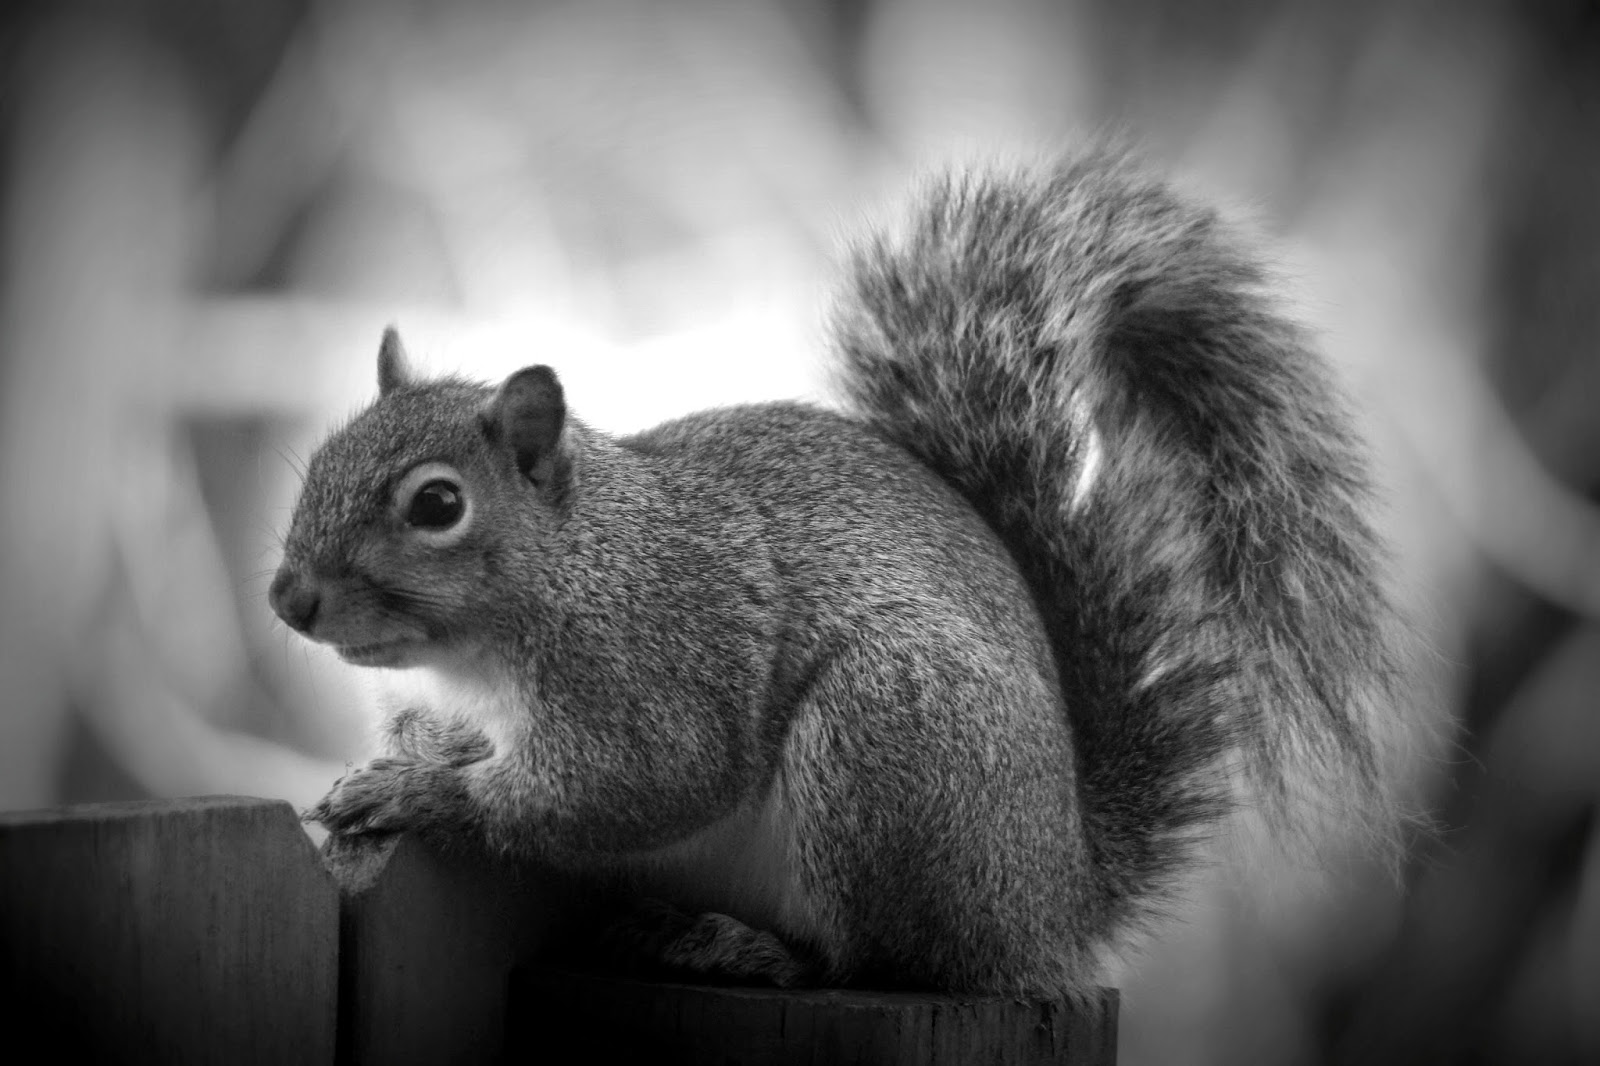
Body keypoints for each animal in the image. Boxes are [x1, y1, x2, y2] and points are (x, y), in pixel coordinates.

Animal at [271, 146, 1410, 998]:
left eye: (437, 505)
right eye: (320, 458)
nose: (288, 598)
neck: (572, 568)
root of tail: (1053, 906)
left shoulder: (660, 667)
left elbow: (635, 784)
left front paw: (416, 790)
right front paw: (401, 758)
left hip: (888, 744)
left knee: (879, 959)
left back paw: (741, 945)